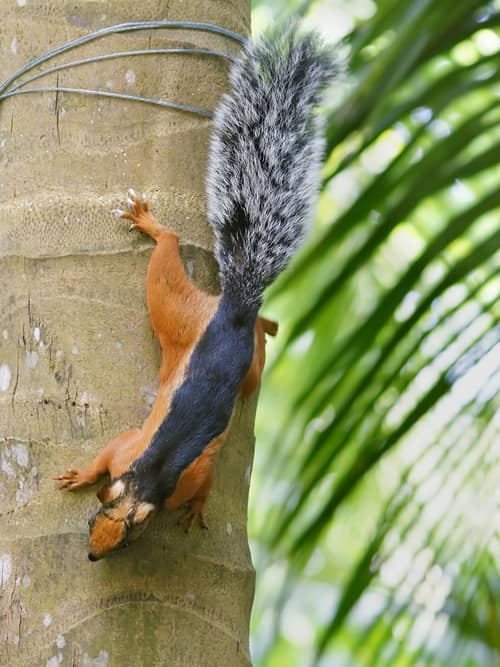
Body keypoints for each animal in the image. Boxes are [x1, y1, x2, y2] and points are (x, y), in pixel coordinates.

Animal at [54, 25, 336, 561]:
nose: (93, 555)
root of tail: (234, 310)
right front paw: (81, 475)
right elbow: (106, 455)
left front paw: (196, 510)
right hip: (181, 312)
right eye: (94, 519)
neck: (146, 481)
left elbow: (200, 484)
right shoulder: (127, 448)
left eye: (125, 538)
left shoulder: (180, 469)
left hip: (181, 313)